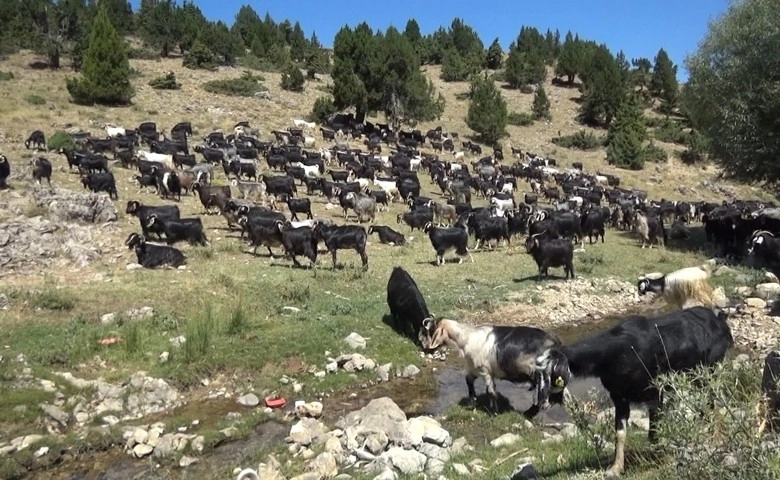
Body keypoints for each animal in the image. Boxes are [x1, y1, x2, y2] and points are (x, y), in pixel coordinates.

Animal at [532, 308, 736, 476]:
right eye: (536, 377)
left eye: (553, 377)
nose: (541, 403)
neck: (618, 353)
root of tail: (719, 320)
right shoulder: (619, 397)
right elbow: (620, 433)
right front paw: (615, 468)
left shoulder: (655, 394)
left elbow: (653, 433)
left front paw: (662, 457)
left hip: (709, 372)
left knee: (711, 402)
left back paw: (712, 437)